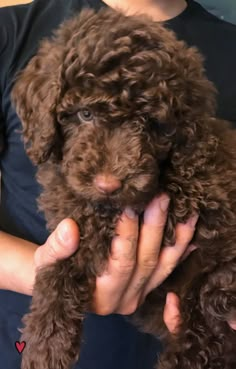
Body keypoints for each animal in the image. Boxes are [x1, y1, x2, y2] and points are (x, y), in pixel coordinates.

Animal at [11, 7, 236, 368]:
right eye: (84, 114)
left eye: (148, 123)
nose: (108, 184)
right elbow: (64, 256)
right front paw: (48, 342)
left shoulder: (198, 198)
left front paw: (44, 344)